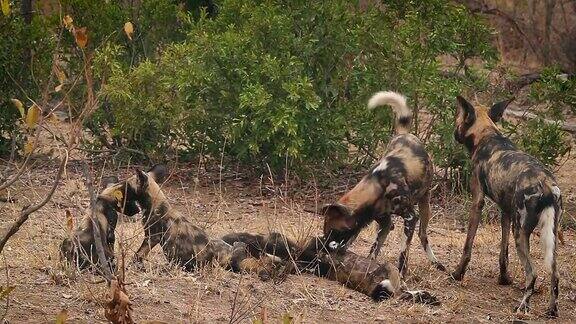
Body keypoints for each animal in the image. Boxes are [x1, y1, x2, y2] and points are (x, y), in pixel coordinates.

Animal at [322, 91, 444, 276]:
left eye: (334, 232)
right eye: (325, 231)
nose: (322, 247)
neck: (377, 186)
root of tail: (405, 134)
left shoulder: (410, 218)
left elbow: (403, 253)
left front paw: (401, 274)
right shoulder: (384, 223)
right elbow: (374, 250)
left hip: (425, 205)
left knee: (423, 235)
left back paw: (436, 262)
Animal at [452, 95, 560, 316]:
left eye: (457, 118)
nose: (454, 133)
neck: (487, 135)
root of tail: (546, 184)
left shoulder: (477, 202)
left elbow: (467, 247)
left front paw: (458, 274)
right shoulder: (506, 212)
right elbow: (504, 253)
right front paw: (504, 279)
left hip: (520, 233)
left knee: (532, 273)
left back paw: (522, 307)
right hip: (546, 235)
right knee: (554, 273)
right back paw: (551, 310)